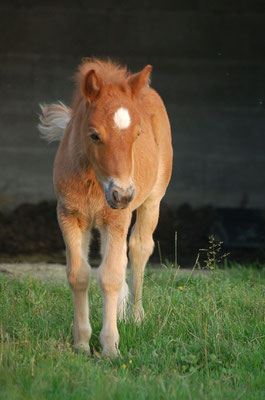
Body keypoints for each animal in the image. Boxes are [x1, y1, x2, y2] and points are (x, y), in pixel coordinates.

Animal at [38, 59, 172, 356]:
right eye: (94, 135)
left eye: (138, 134)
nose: (122, 194)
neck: (93, 181)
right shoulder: (69, 216)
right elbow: (79, 275)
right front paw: (81, 344)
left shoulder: (116, 219)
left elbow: (109, 276)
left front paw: (110, 347)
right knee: (120, 257)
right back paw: (121, 312)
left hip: (151, 201)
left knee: (138, 249)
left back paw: (136, 316)